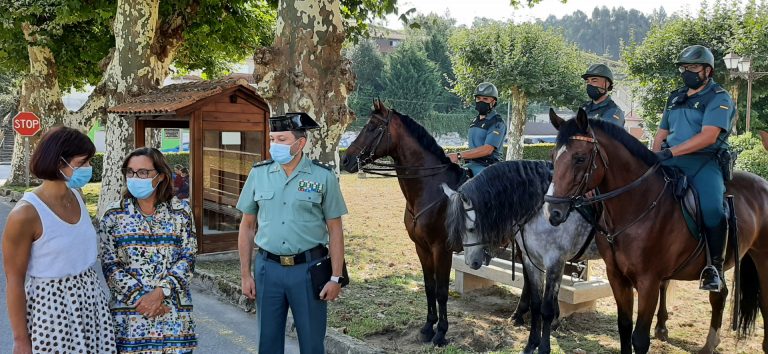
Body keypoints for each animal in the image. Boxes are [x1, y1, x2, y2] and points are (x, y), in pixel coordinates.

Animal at [544, 108, 768, 354]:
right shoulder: (617, 277)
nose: (553, 211)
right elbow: (624, 327)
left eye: (580, 158)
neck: (638, 204)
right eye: (553, 157)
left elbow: (640, 338)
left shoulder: (648, 282)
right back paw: (709, 343)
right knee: (719, 296)